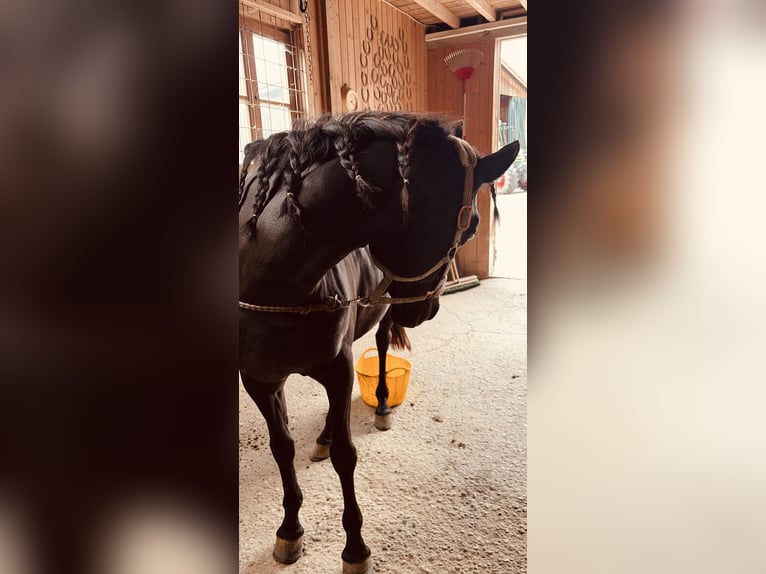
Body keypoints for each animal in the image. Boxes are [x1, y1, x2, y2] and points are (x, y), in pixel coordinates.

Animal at [239, 111, 519, 573]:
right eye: (473, 226)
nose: (427, 310)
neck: (273, 285)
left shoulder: (338, 369)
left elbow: (346, 456)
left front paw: (354, 548)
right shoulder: (260, 381)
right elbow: (283, 449)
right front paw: (290, 530)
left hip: (381, 319)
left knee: (385, 348)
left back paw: (383, 407)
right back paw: (324, 434)